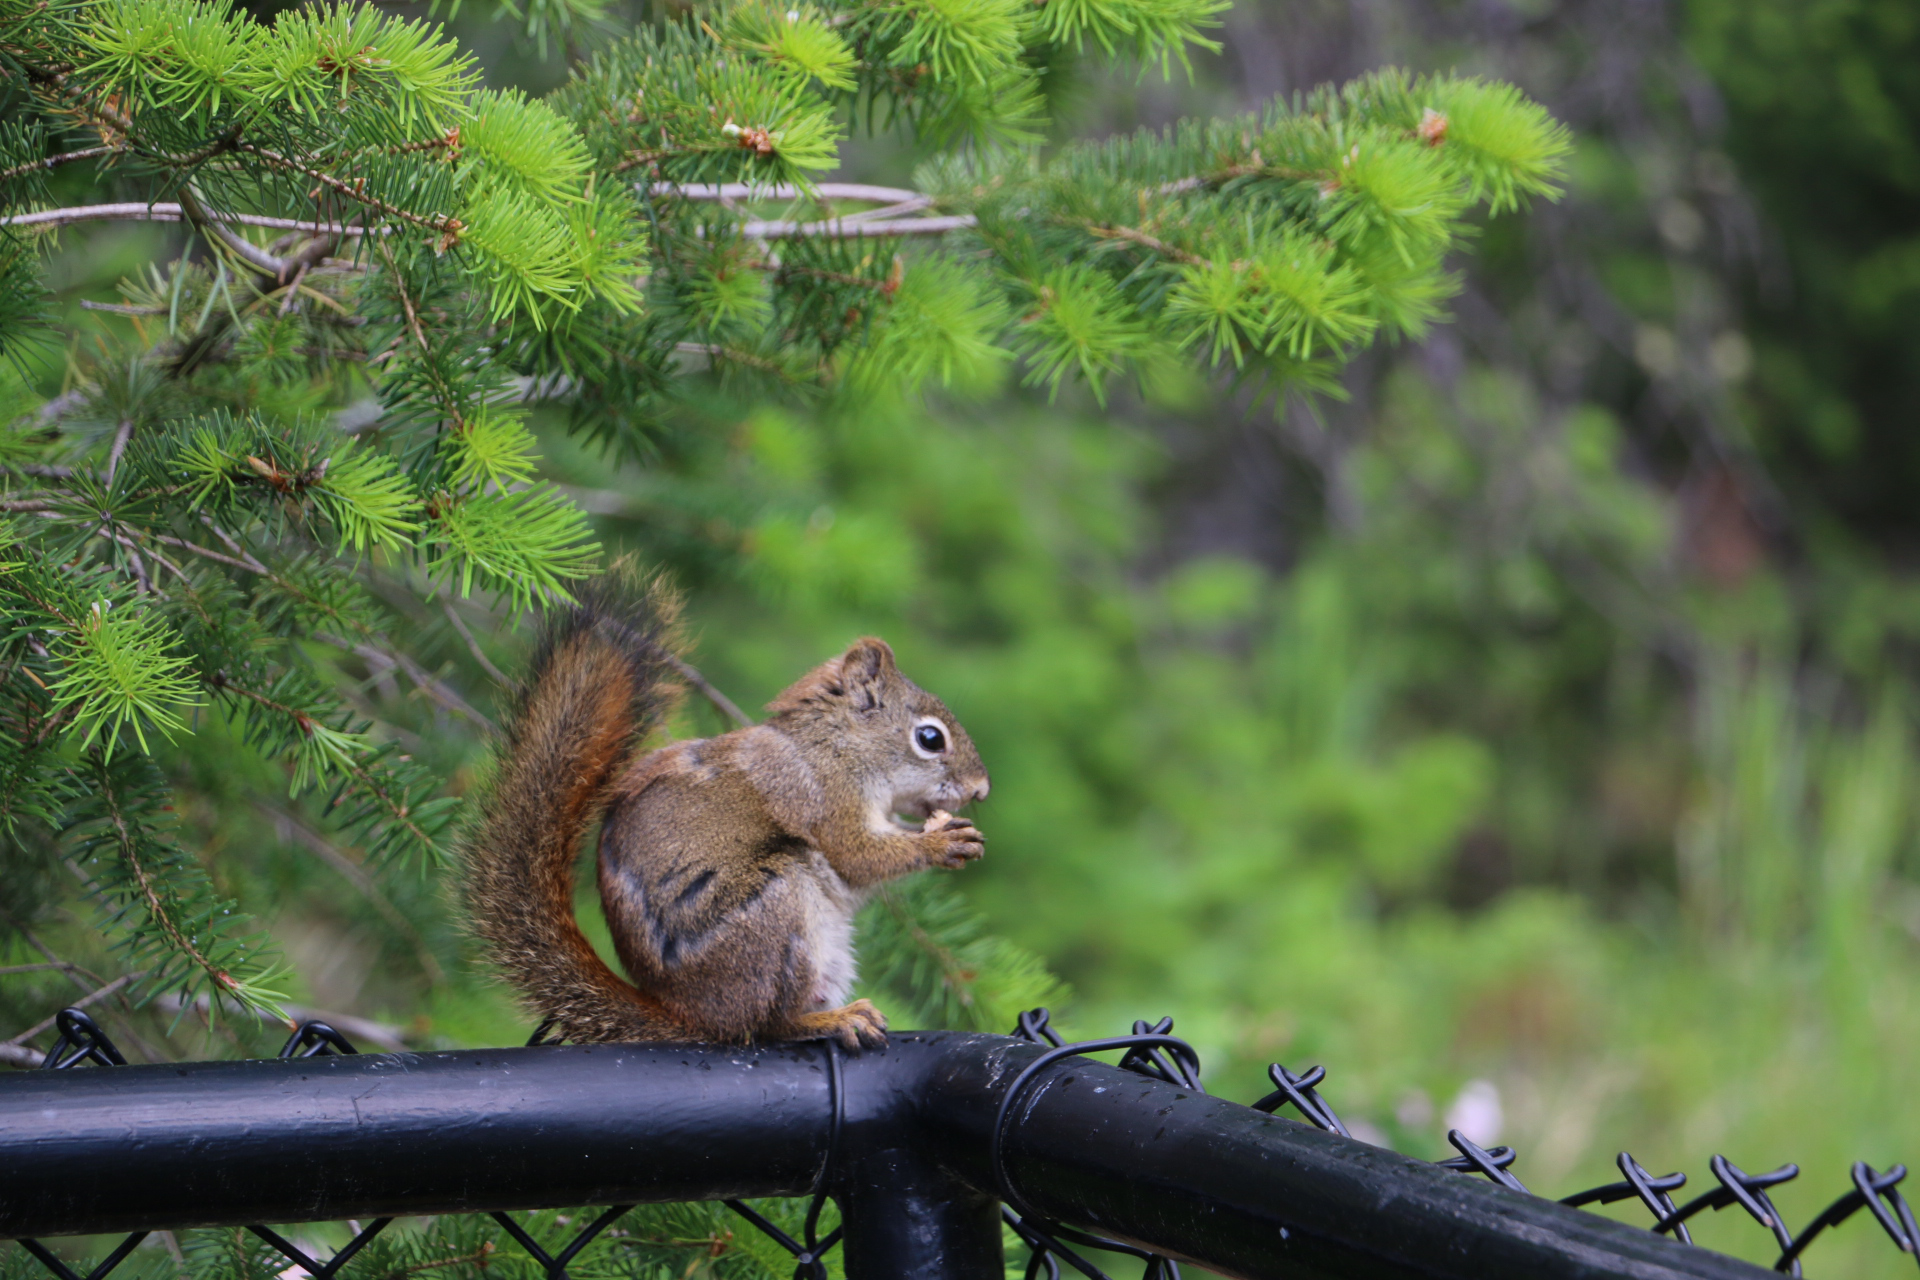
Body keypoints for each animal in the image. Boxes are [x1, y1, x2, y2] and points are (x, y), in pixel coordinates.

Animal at [462, 575, 990, 1043]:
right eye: (930, 738)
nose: (982, 789)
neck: (837, 745)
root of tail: (695, 1016)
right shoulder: (822, 796)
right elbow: (857, 856)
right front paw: (943, 842)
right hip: (775, 913)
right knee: (767, 1026)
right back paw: (830, 1021)